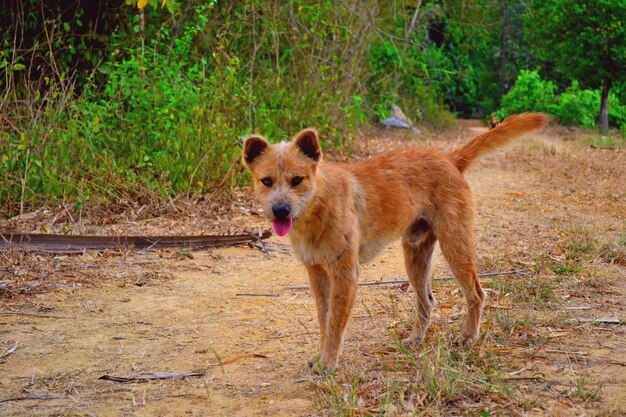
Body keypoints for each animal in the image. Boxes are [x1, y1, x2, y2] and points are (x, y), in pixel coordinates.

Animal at [243, 112, 544, 368]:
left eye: (297, 179)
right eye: (267, 181)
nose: (280, 210)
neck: (318, 205)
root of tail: (449, 158)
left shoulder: (345, 274)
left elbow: (335, 323)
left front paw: (328, 362)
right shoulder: (317, 273)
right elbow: (323, 320)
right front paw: (321, 356)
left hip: (455, 246)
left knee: (477, 294)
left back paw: (468, 337)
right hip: (416, 256)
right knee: (427, 301)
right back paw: (416, 339)